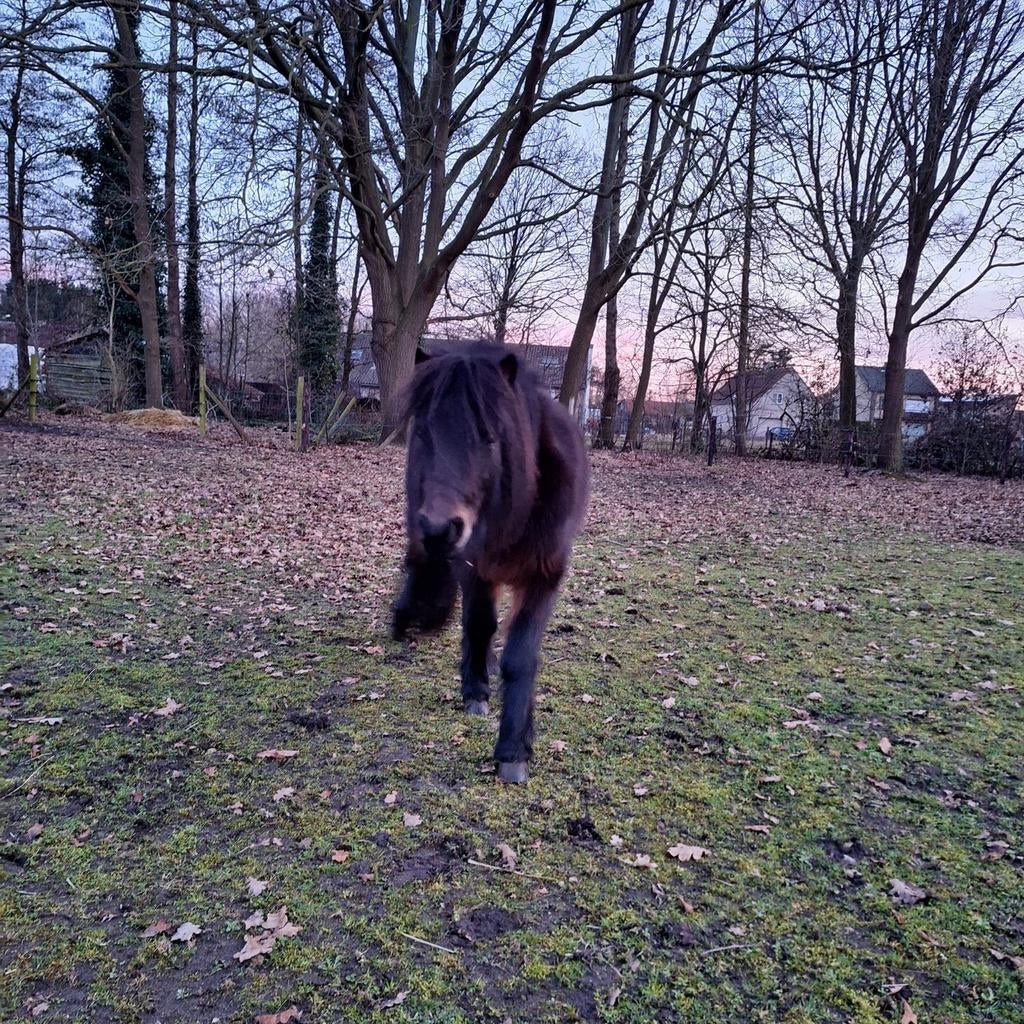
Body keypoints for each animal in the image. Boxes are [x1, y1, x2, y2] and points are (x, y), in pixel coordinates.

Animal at [391, 343, 589, 783]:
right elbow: (479, 625)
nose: (439, 528)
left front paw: (514, 749)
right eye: (423, 431)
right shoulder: (473, 567)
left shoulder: (545, 576)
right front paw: (476, 692)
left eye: (489, 436)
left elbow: (521, 655)